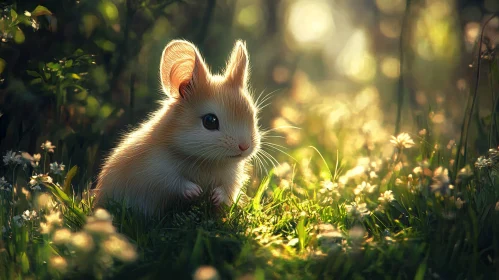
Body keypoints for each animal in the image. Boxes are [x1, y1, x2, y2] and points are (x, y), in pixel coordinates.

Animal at [95, 38, 264, 214]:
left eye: (253, 114)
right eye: (210, 121)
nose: (244, 147)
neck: (206, 161)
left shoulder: (232, 179)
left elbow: (226, 189)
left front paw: (215, 197)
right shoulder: (156, 172)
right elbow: (176, 183)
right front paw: (196, 191)